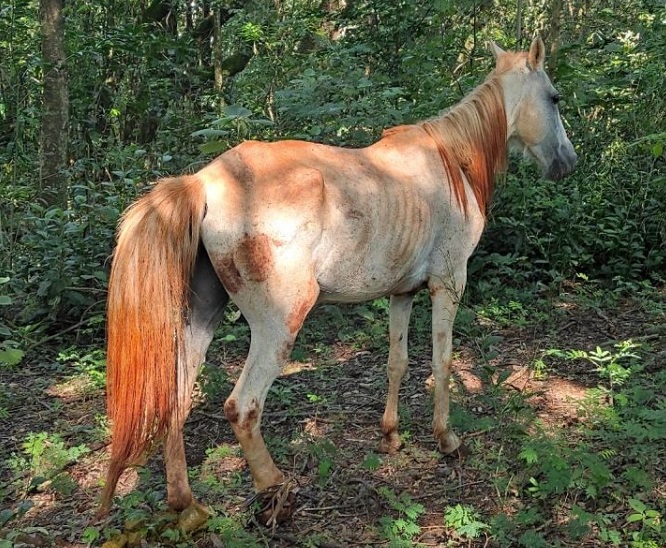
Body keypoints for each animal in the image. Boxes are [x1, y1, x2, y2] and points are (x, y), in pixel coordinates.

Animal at [98, 36, 576, 524]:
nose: (567, 162)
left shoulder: (402, 294)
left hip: (201, 319)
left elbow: (397, 362)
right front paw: (446, 439)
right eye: (555, 97)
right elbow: (441, 362)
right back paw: (275, 491)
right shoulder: (448, 284)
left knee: (176, 400)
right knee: (243, 407)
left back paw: (187, 504)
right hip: (279, 326)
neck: (451, 162)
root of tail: (204, 182)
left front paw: (390, 435)